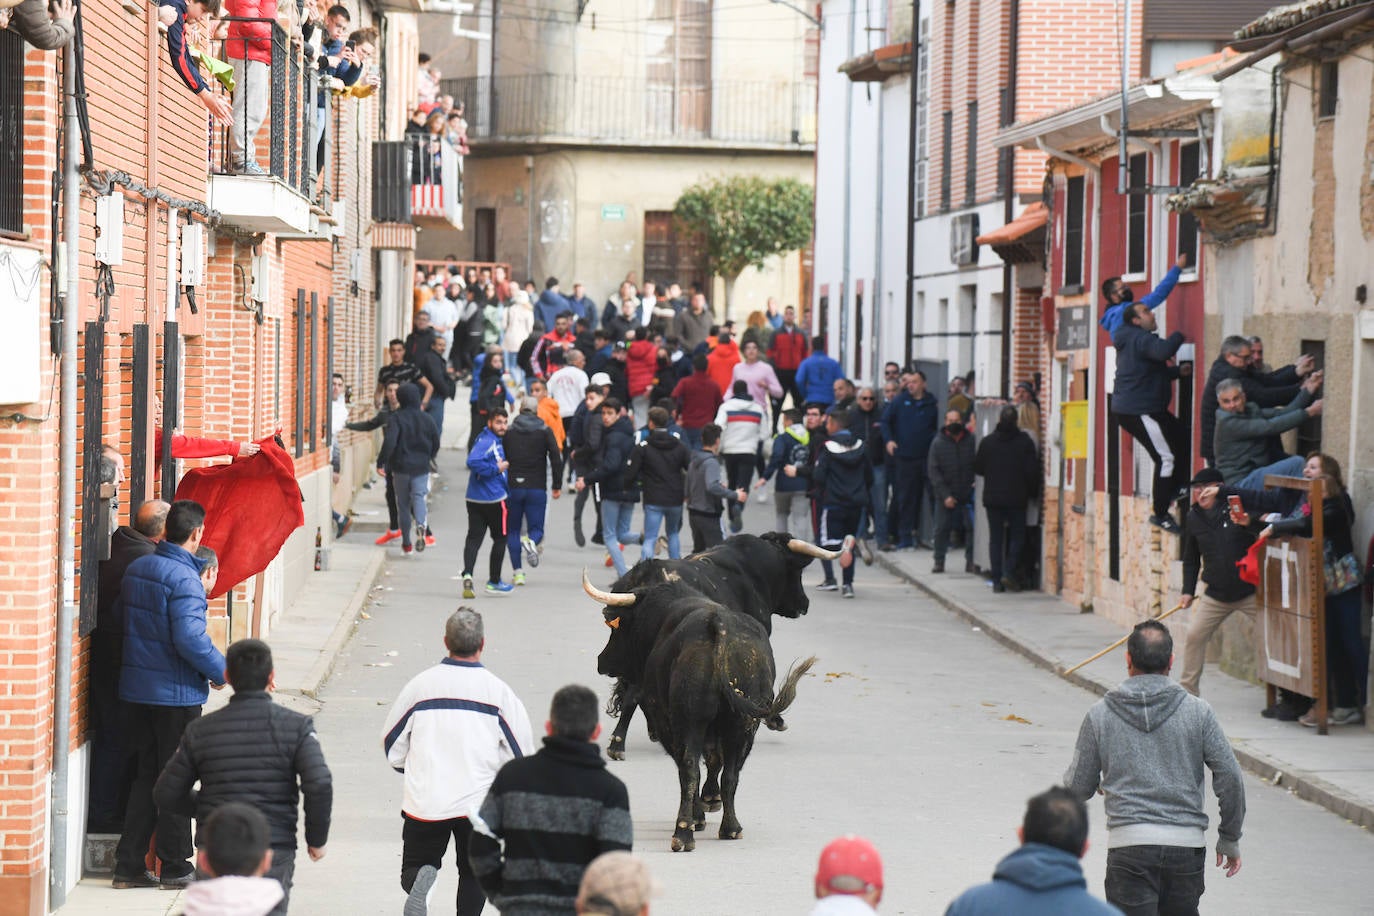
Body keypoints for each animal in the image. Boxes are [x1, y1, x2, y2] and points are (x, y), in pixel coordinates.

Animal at [579, 530, 824, 851]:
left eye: (616, 628)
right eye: (796, 572)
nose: (601, 661)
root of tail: (718, 627)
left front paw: (703, 807)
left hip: (707, 723)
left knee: (702, 768)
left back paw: (699, 828)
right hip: (729, 725)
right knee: (718, 770)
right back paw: (710, 828)